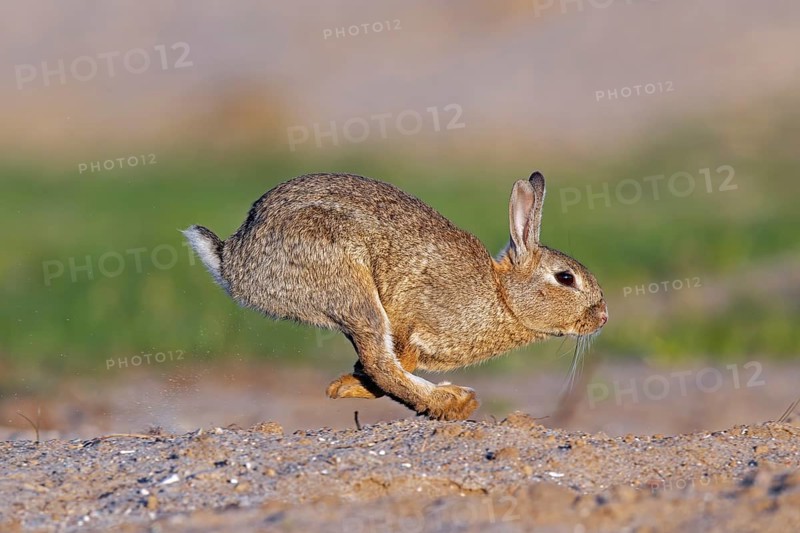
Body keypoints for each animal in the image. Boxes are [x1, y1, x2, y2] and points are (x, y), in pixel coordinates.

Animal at [183, 171, 607, 420]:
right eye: (565, 278)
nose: (602, 318)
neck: (502, 295)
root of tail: (234, 262)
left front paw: (345, 384)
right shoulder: (411, 317)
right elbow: (388, 362)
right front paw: (349, 385)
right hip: (350, 284)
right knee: (380, 363)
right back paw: (453, 402)